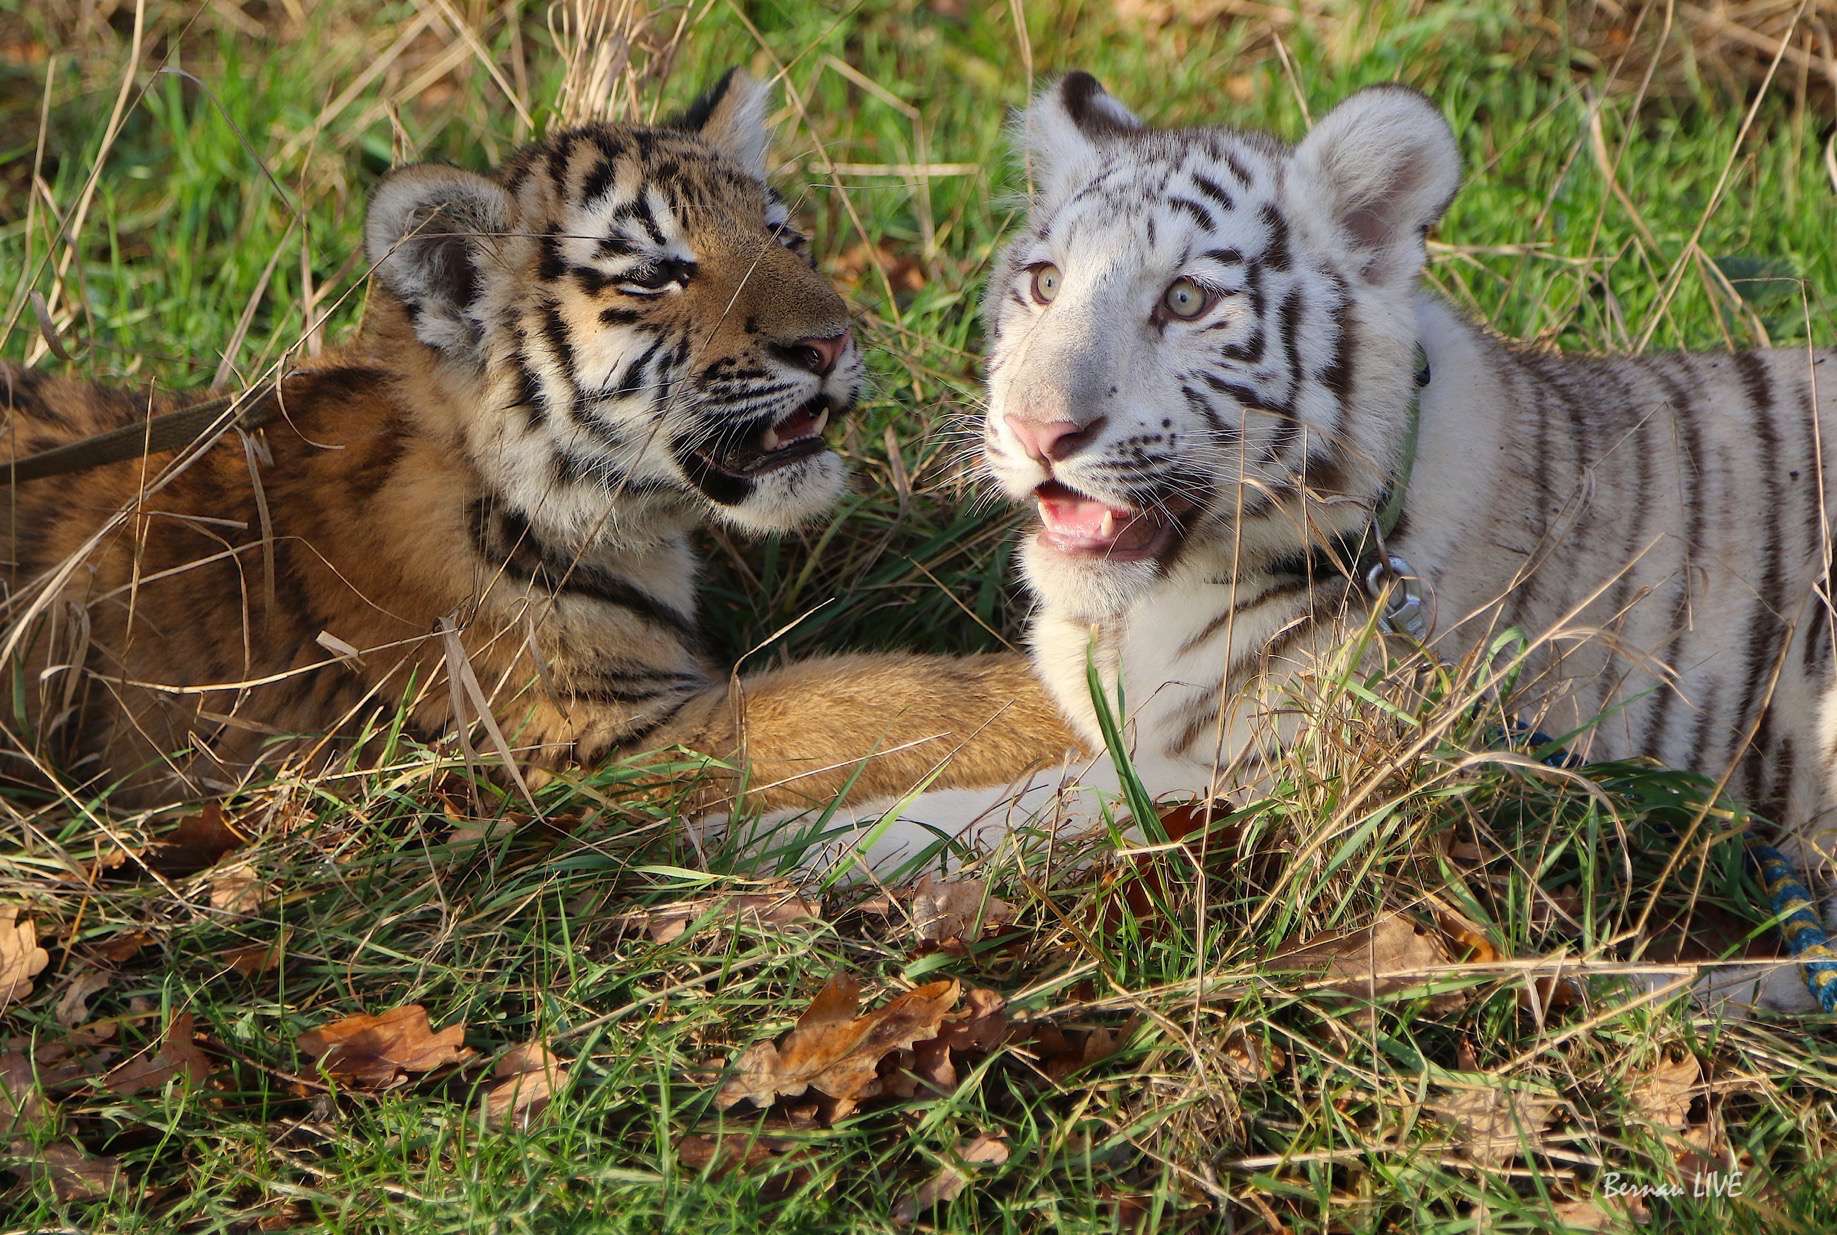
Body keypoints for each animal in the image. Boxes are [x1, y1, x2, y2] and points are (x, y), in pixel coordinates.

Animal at [0, 69, 1075, 819]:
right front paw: (1068, 691)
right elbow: (880, 697)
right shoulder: (602, 742)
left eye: (782, 236)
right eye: (655, 273)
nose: (832, 340)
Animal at [832, 75, 1836, 1011]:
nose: (1036, 431)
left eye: (1185, 300)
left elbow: (1015, 810)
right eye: (1044, 284)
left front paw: (812, 843)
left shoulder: (1277, 777)